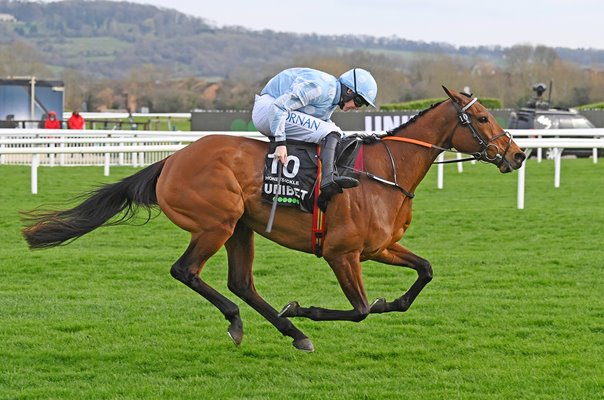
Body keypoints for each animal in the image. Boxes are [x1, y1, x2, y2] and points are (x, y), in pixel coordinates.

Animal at [22, 86, 524, 350]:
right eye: (481, 117)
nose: (518, 155)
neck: (385, 172)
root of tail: (172, 159)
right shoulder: (342, 253)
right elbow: (359, 310)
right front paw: (305, 308)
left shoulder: (379, 247)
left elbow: (424, 272)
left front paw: (387, 301)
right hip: (217, 223)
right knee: (186, 271)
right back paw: (247, 321)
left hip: (241, 228)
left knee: (241, 283)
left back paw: (291, 332)